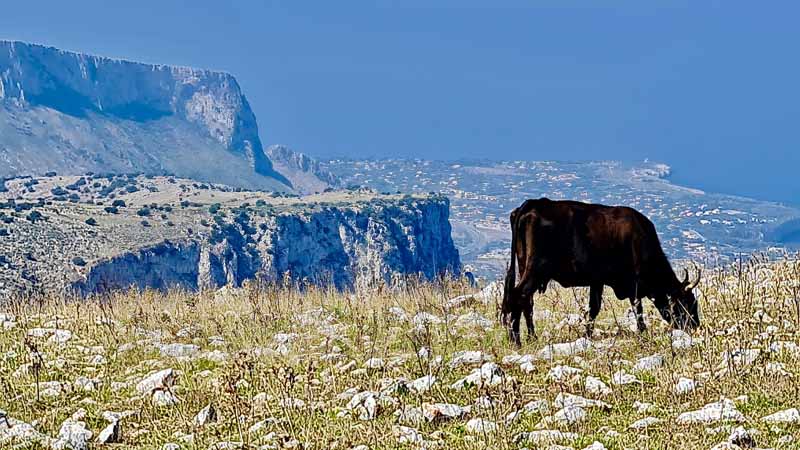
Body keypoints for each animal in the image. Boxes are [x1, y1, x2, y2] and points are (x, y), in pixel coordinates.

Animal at [500, 197, 700, 344]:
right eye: (688, 303)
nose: (695, 326)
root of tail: (533, 203)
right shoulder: (633, 284)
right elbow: (638, 309)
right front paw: (643, 332)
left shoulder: (597, 281)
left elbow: (593, 309)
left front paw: (587, 335)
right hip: (536, 269)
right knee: (518, 296)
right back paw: (516, 340)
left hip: (524, 266)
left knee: (526, 302)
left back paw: (531, 337)